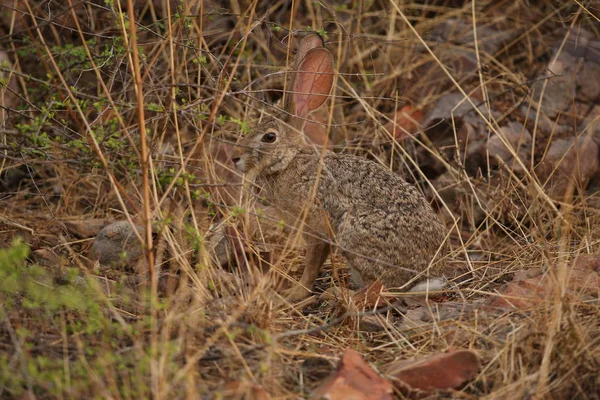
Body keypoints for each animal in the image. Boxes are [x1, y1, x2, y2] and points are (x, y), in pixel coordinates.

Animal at [232, 34, 448, 300]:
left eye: (269, 137)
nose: (235, 158)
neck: (291, 161)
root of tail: (427, 278)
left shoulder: (316, 227)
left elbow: (312, 265)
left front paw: (293, 293)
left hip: (354, 234)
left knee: (380, 288)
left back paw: (336, 294)